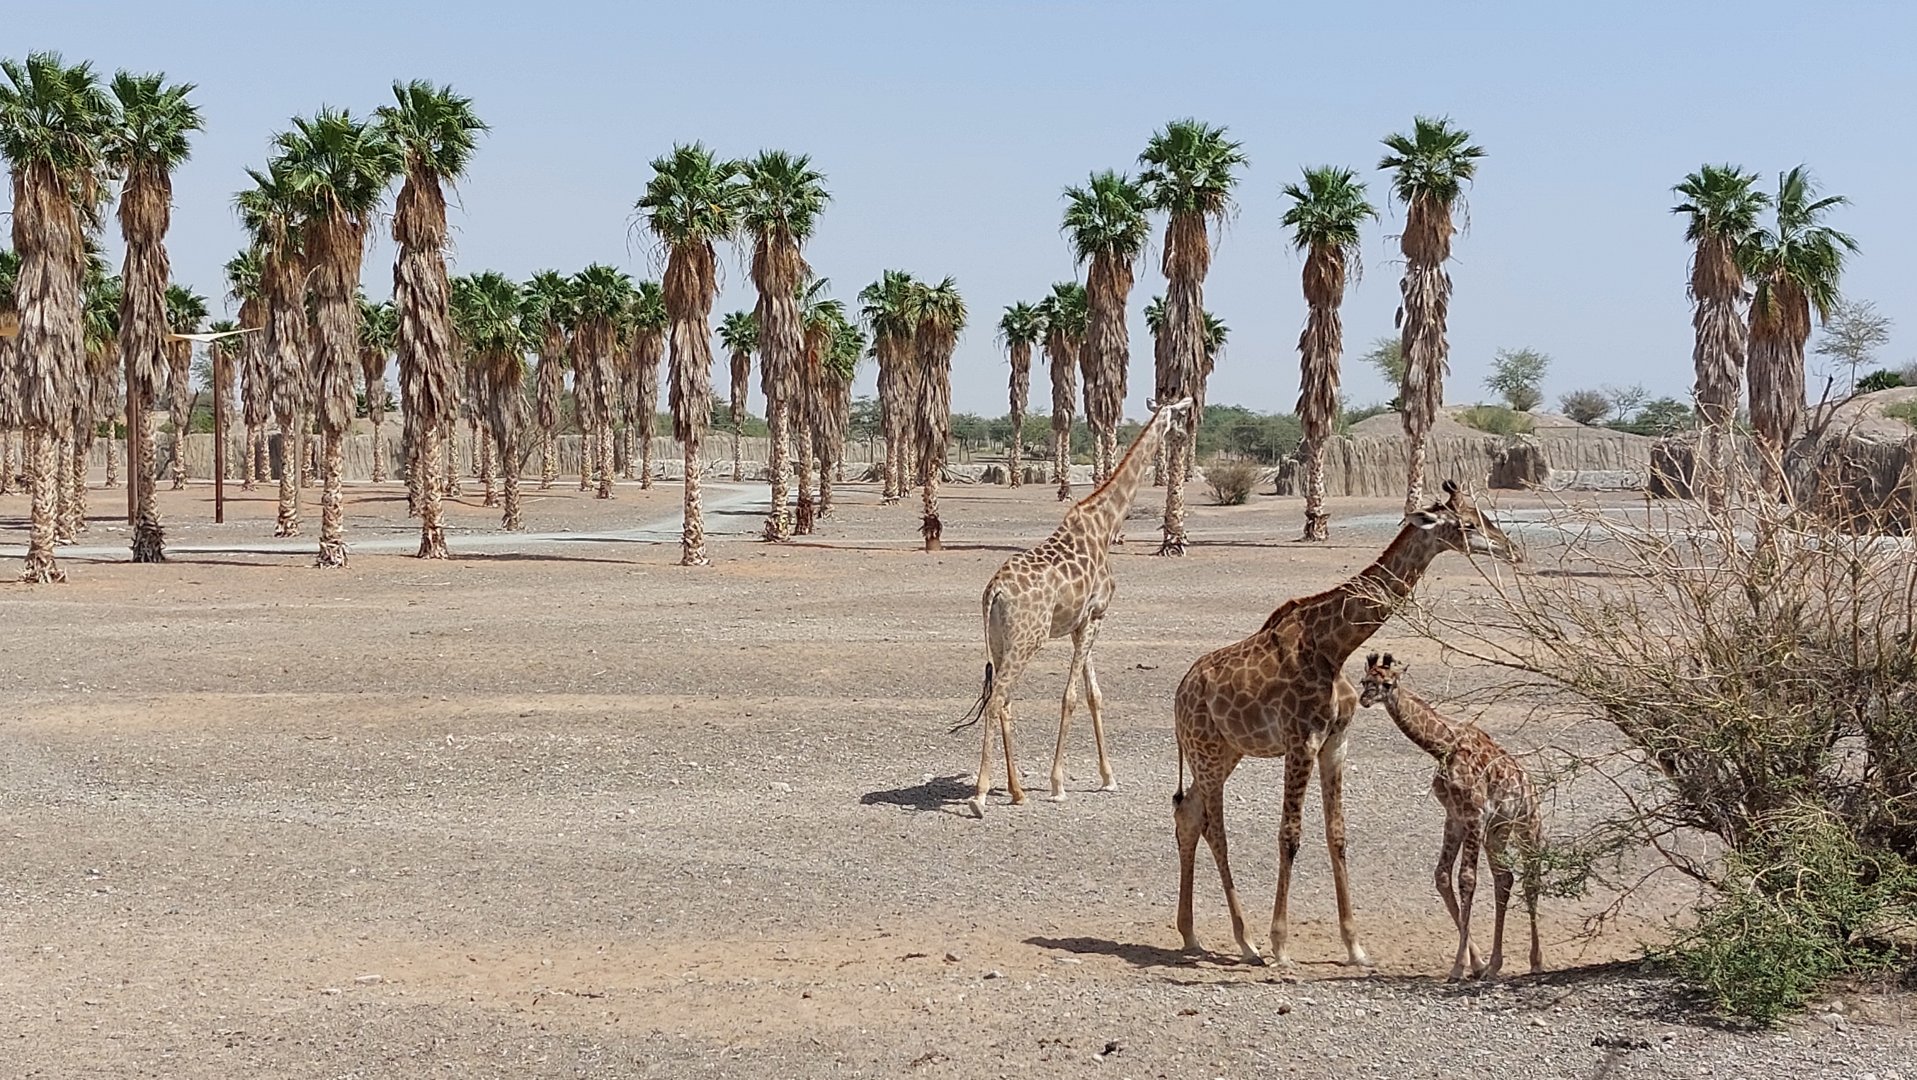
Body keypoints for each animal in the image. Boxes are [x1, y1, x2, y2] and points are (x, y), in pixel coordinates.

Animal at [964, 396, 1195, 818]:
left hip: (1001, 643)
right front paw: (1057, 784)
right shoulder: (1097, 616)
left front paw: (1108, 777)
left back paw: (1017, 791)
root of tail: (994, 592)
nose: (1188, 437)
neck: (1105, 526)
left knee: (1004, 702)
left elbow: (1094, 695)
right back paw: (981, 794)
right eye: (1182, 414)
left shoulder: (1081, 623)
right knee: (997, 700)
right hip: (1026, 641)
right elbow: (1071, 697)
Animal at [1172, 479, 1518, 967]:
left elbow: (1337, 836)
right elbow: (1290, 835)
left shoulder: (1336, 742)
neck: (1333, 646)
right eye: (1468, 524)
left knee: (1189, 815)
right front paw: (1281, 945)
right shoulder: (1301, 740)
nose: (1509, 548)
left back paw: (1191, 934)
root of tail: (1179, 695)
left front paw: (1355, 946)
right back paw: (1247, 941)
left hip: (1226, 751)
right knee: (1214, 830)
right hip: (1204, 749)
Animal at [1359, 652, 1543, 980]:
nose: (1364, 699)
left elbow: (1466, 879)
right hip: (1498, 830)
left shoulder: (1474, 815)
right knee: (1505, 877)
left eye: (1388, 684)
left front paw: (1458, 967)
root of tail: (1532, 786)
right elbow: (1442, 876)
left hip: (1527, 825)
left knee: (1530, 878)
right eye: (1363, 681)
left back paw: (1536, 962)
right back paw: (1495, 965)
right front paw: (1476, 963)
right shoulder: (1454, 816)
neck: (1442, 746)